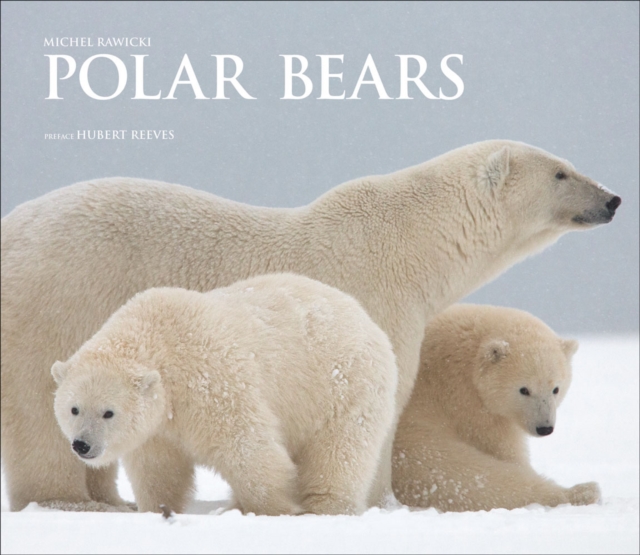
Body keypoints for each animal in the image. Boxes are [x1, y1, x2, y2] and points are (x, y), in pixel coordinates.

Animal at [51, 273, 398, 516]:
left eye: (108, 412)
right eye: (74, 409)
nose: (82, 445)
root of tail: (365, 317)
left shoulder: (211, 380)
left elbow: (246, 446)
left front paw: (273, 508)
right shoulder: (156, 427)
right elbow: (159, 469)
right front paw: (156, 508)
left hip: (342, 384)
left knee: (339, 451)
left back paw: (325, 507)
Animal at [392, 304, 601, 512]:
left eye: (555, 389)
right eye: (524, 389)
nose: (545, 428)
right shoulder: (466, 401)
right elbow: (503, 450)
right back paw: (583, 491)